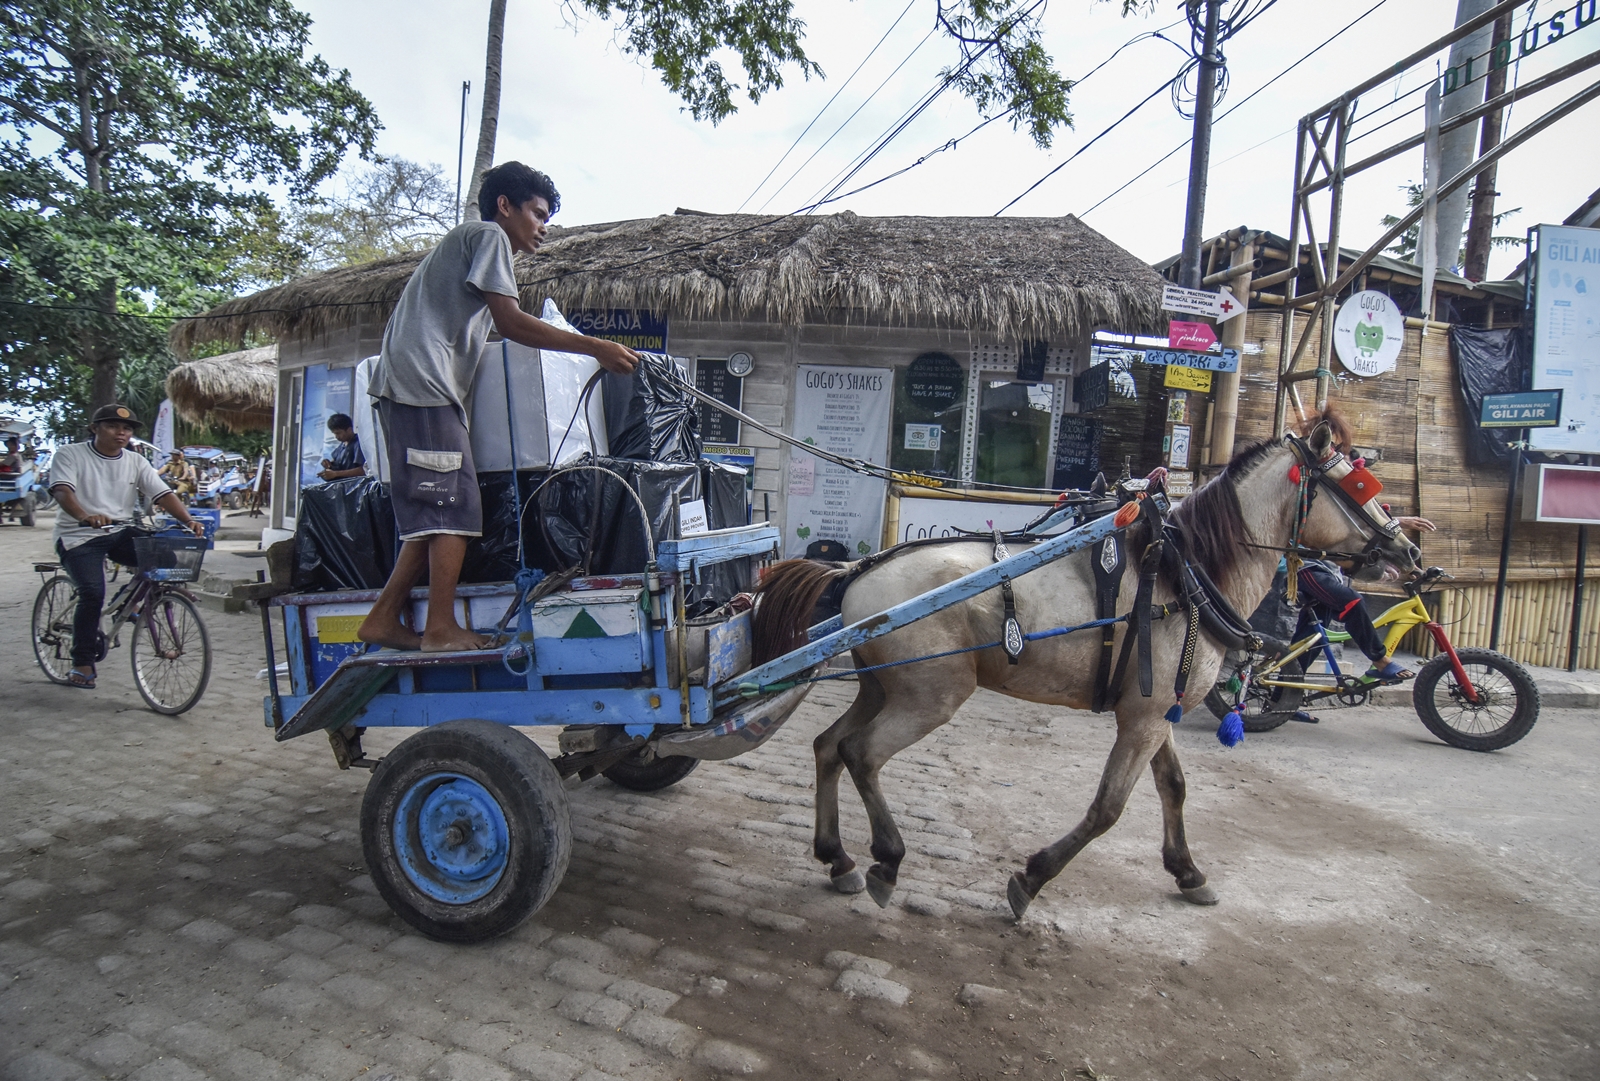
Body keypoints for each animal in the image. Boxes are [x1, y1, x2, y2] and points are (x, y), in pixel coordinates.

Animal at [742, 409, 1420, 914]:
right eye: (1359, 486)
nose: (1410, 552)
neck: (1185, 573)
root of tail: (855, 571)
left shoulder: (1157, 711)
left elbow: (1174, 786)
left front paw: (1188, 871)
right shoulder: (1142, 718)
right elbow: (1109, 808)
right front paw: (1032, 878)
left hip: (885, 688)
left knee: (830, 746)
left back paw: (838, 857)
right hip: (928, 697)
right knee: (862, 754)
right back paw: (886, 858)